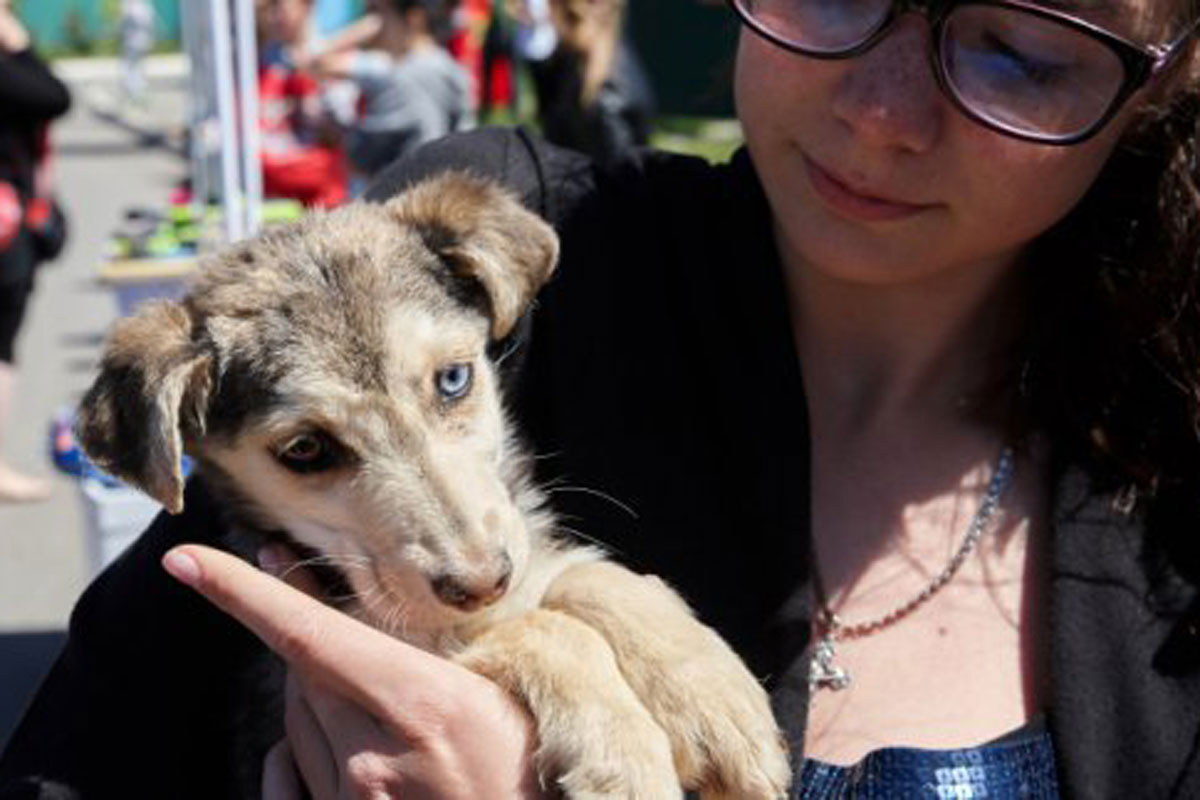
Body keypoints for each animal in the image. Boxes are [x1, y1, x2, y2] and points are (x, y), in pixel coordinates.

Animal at [75, 175, 787, 800]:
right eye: (305, 450)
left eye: (452, 379)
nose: (481, 584)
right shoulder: (392, 645)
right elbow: (541, 629)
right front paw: (622, 757)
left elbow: (592, 577)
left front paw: (712, 701)